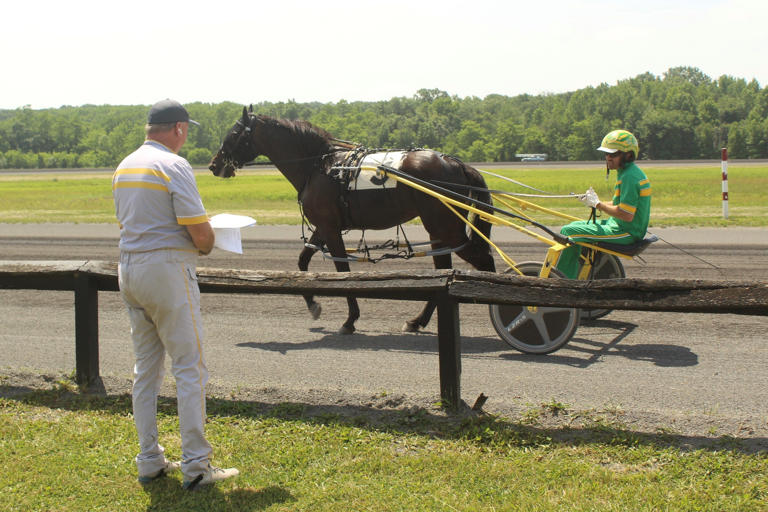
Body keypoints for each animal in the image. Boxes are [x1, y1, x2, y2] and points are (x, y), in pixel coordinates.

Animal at [209, 106, 496, 334]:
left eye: (233, 133)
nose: (213, 164)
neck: (321, 166)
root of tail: (456, 163)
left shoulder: (330, 229)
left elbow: (342, 271)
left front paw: (350, 320)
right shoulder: (324, 227)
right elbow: (302, 260)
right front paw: (313, 305)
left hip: (446, 228)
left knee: (483, 260)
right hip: (438, 231)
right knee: (444, 270)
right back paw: (416, 321)